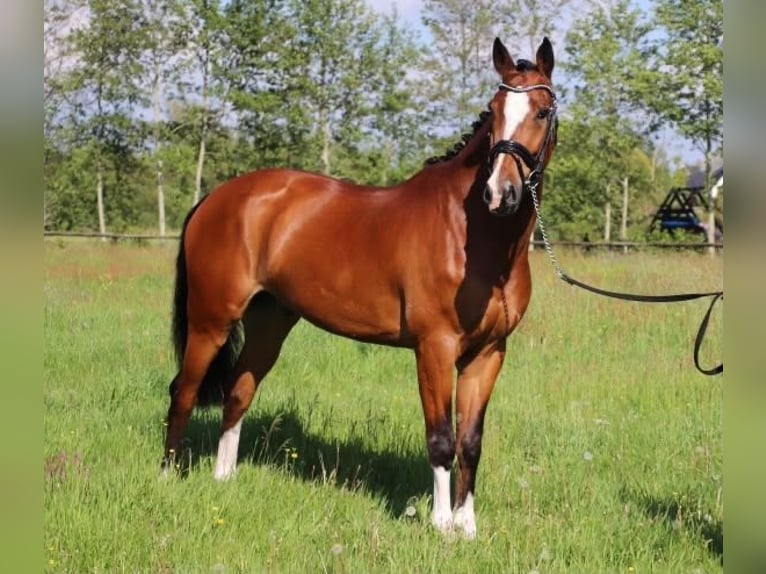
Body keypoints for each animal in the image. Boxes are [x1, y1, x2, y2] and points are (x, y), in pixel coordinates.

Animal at [163, 36, 558, 539]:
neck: (475, 236)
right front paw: (440, 525)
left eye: (542, 112)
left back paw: (223, 477)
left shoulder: (488, 353)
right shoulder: (434, 349)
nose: (499, 193)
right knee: (184, 391)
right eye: (494, 109)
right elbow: (441, 439)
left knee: (237, 393)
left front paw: (467, 528)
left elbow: (470, 441)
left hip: (270, 322)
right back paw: (168, 476)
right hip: (210, 321)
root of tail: (215, 199)